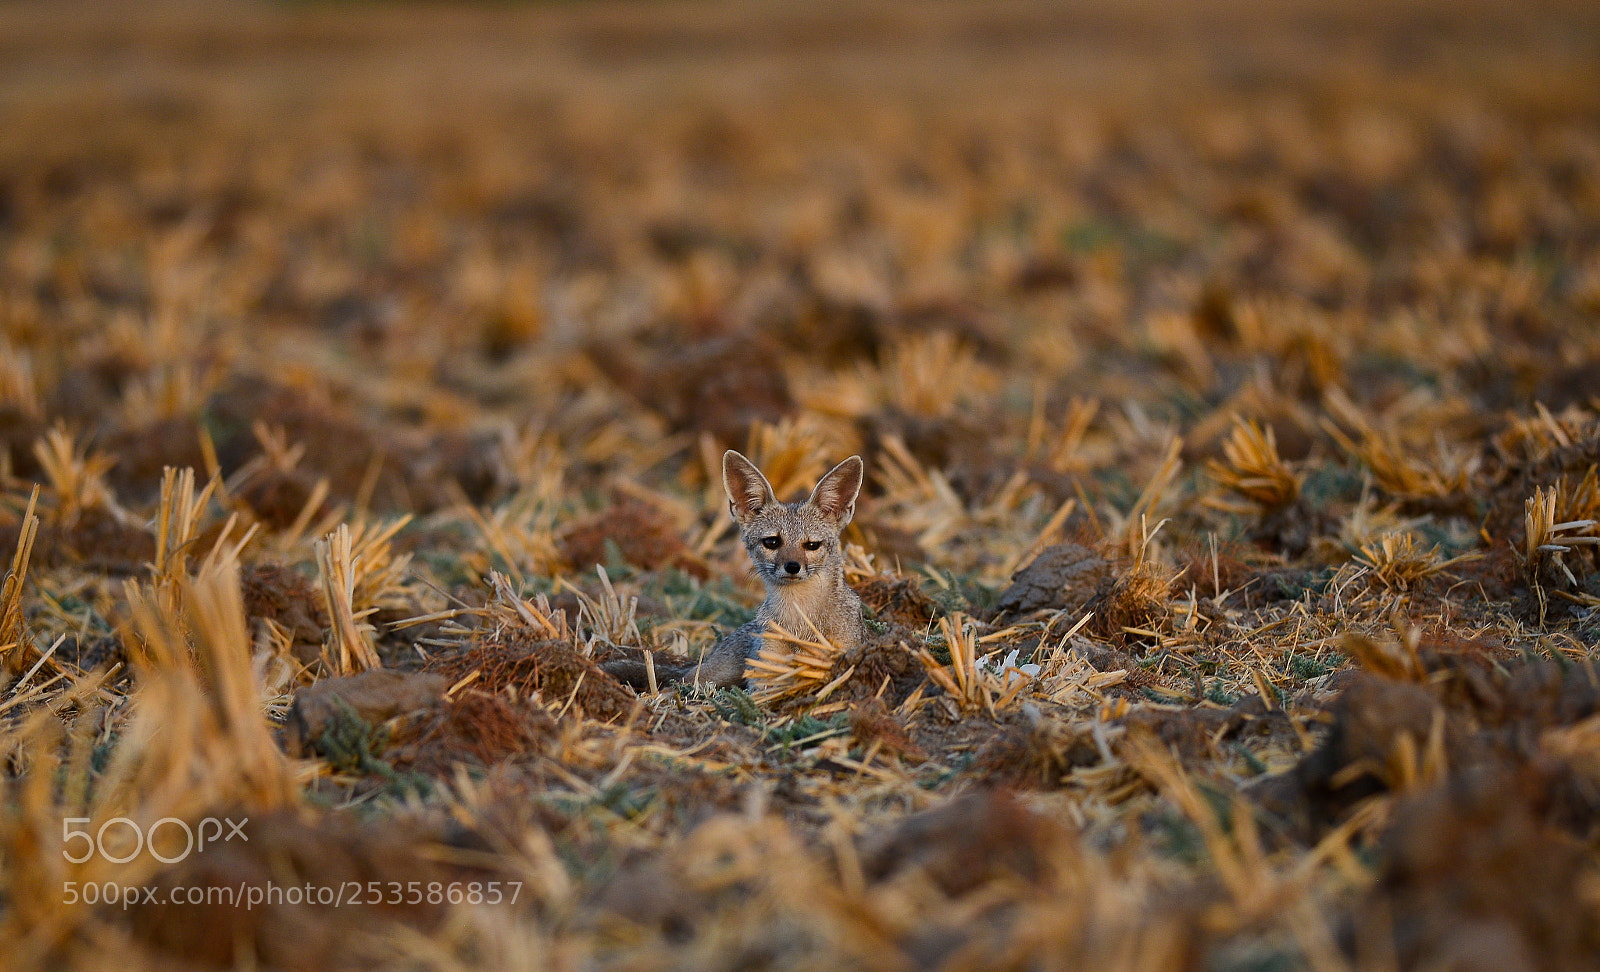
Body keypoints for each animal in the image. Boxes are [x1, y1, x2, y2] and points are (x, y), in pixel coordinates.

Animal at [603, 450, 867, 691]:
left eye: (812, 545)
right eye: (772, 542)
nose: (793, 566)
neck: (798, 621)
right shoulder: (763, 676)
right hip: (709, 677)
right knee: (676, 685)